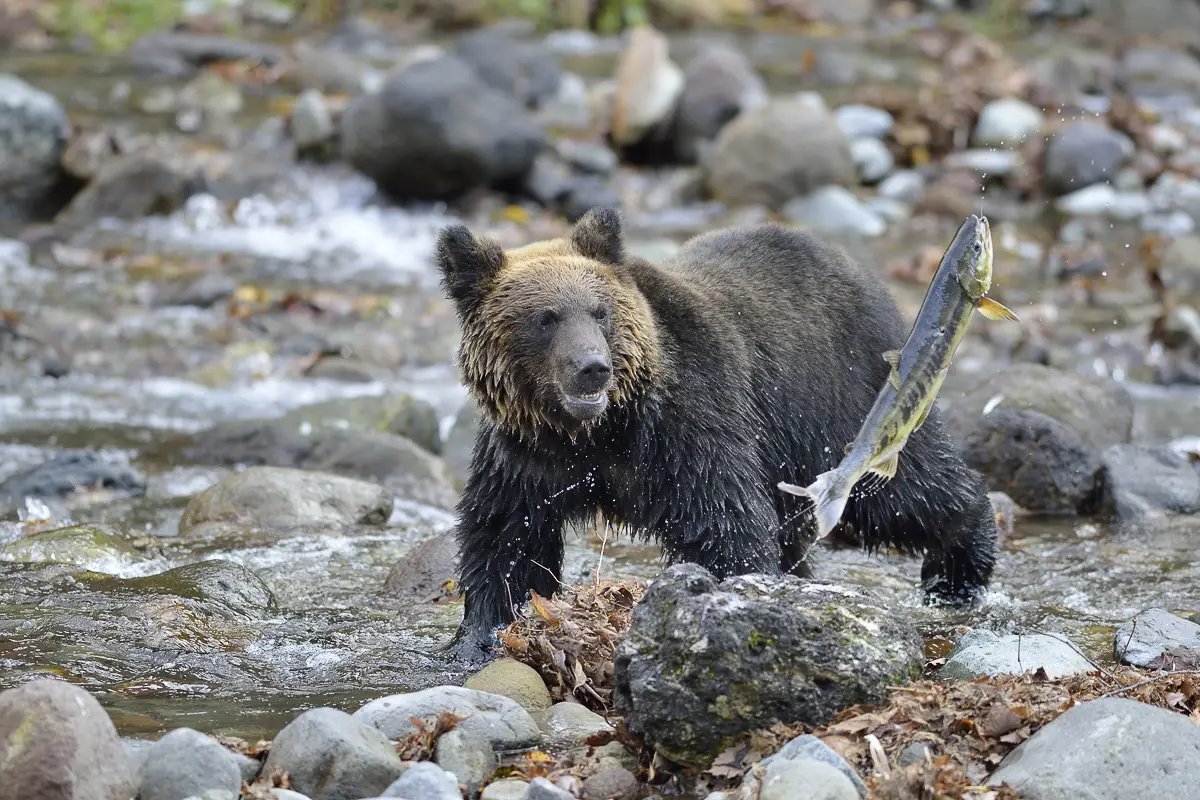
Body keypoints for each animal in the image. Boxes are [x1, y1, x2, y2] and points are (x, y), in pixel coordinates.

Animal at [436, 208, 998, 662]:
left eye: (600, 311)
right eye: (545, 318)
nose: (592, 368)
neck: (599, 433)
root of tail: (857, 270)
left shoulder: (689, 426)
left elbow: (725, 523)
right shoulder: (523, 456)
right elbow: (506, 539)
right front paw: (480, 636)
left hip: (840, 398)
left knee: (901, 494)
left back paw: (959, 570)